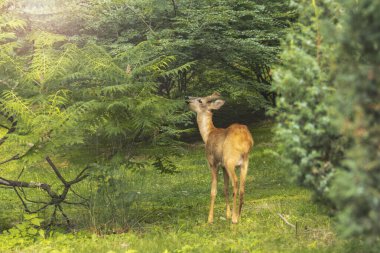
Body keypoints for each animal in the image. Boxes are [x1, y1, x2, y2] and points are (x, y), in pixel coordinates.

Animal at [186, 92, 254, 223]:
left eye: (200, 100)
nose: (187, 99)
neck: (208, 135)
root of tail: (246, 140)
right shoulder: (223, 167)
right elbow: (225, 188)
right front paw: (227, 214)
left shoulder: (213, 163)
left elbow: (213, 190)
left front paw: (210, 219)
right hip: (245, 162)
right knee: (242, 187)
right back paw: (238, 215)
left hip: (230, 160)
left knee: (236, 183)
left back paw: (234, 219)